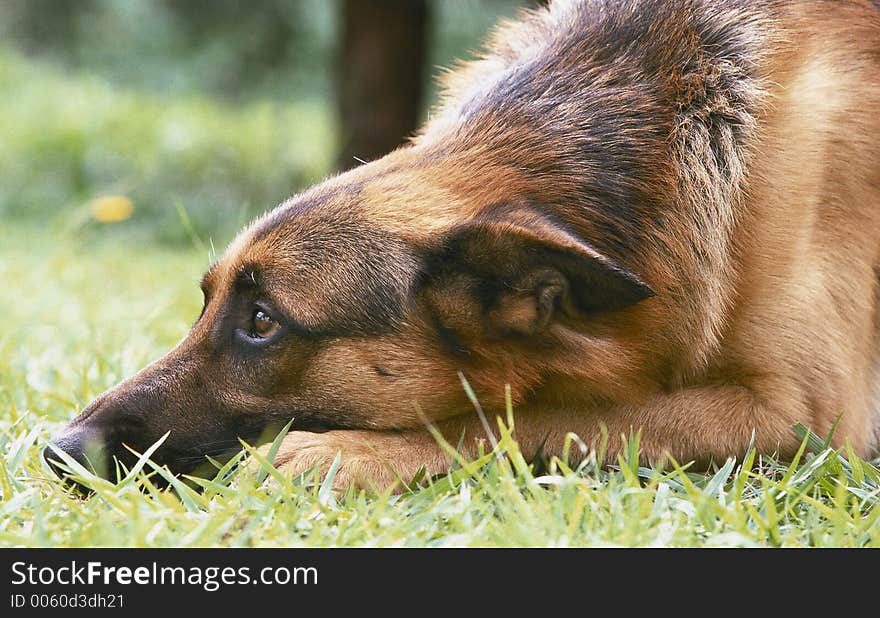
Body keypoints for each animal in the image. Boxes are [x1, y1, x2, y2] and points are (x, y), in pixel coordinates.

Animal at [46, 1, 880, 490]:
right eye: (205, 304)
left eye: (262, 322)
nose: (59, 449)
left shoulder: (797, 417)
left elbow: (551, 416)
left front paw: (356, 451)